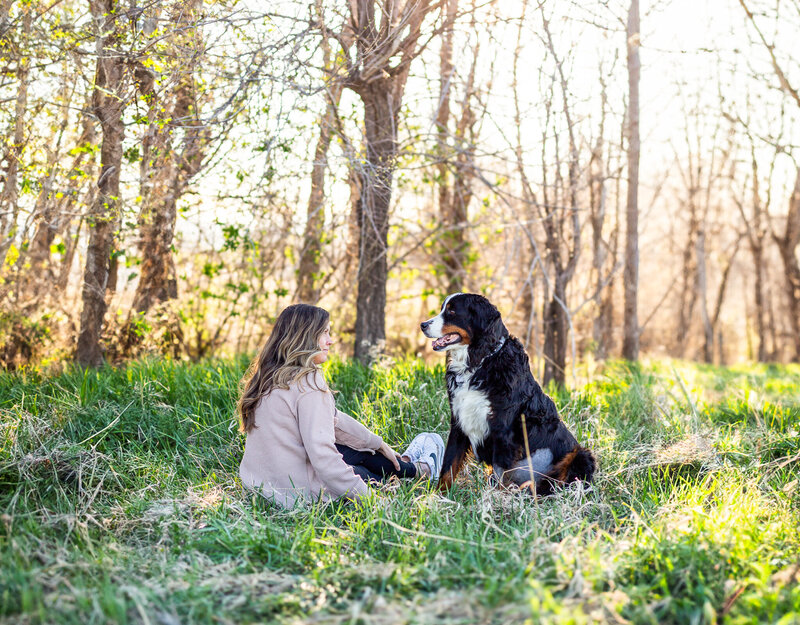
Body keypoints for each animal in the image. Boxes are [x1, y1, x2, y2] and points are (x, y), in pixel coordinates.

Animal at [422, 292, 596, 492]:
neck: (480, 362)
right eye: (443, 308)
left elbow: (499, 471)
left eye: (451, 311)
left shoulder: (502, 430)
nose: (423, 325)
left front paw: (496, 497)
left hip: (580, 455)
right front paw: (438, 495)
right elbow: (449, 465)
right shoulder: (459, 422)